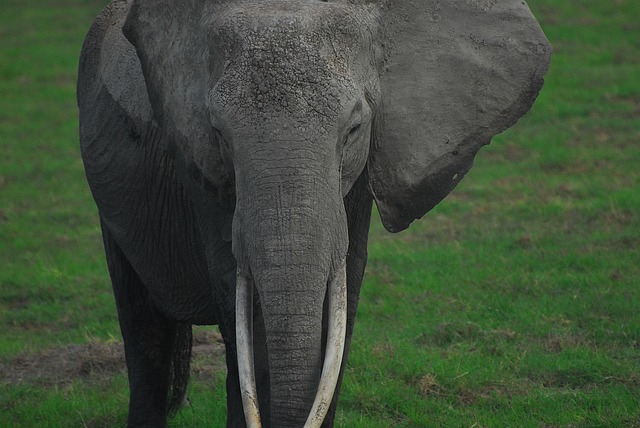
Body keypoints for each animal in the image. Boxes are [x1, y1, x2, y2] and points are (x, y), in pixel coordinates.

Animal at [77, 0, 551, 426]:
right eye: (218, 134)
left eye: (354, 129)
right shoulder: (199, 170)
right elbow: (240, 315)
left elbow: (344, 300)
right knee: (144, 333)